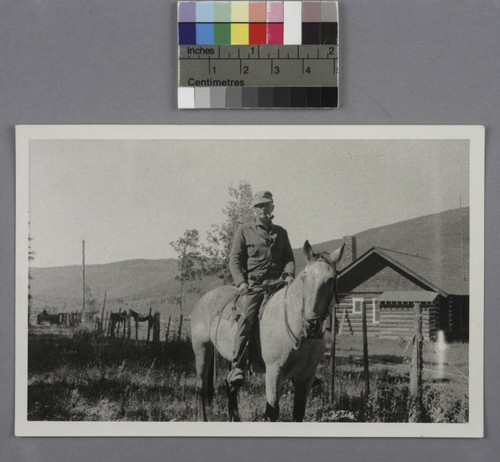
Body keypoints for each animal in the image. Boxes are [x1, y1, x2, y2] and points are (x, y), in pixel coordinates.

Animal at [190, 240, 344, 420]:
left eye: (331, 279)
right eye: (304, 277)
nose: (311, 324)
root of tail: (204, 298)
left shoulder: (307, 376)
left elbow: (298, 412)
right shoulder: (273, 373)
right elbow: (271, 412)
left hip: (231, 358)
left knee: (230, 385)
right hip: (202, 349)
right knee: (201, 387)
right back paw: (202, 418)